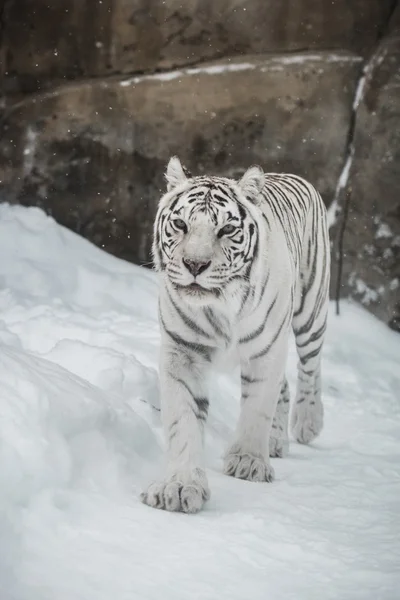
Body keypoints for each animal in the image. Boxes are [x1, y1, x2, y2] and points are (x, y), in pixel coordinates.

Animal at [141, 157, 332, 512]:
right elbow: (183, 420)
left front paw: (248, 462)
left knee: (310, 368)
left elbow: (258, 406)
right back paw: (276, 441)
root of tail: (291, 174)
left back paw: (307, 422)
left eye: (226, 230)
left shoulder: (266, 351)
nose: (194, 264)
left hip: (311, 310)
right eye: (180, 224)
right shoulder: (183, 352)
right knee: (286, 385)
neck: (219, 307)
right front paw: (179, 486)